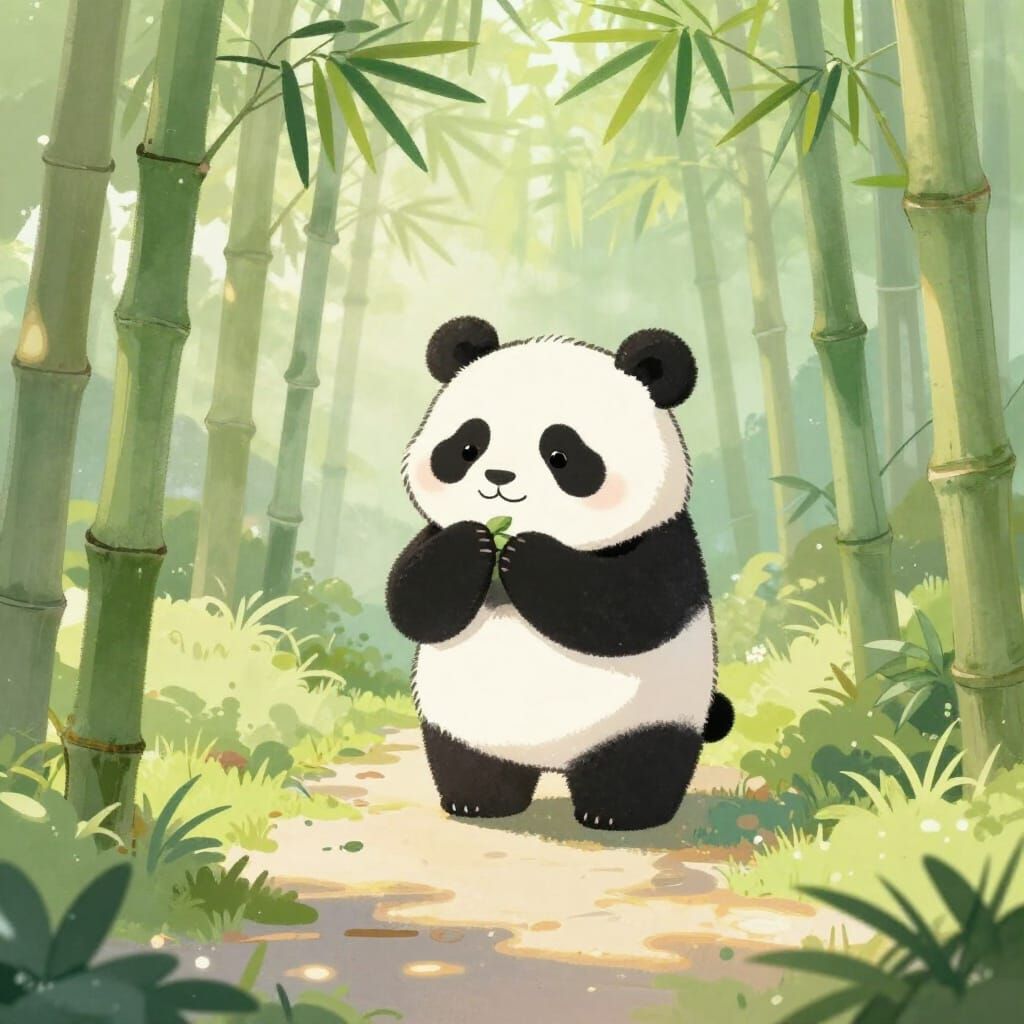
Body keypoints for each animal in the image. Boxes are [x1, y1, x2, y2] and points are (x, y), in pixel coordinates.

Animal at [386, 316, 733, 831]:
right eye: (469, 446)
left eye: (561, 456)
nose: (499, 478)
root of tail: (551, 761)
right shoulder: (433, 533)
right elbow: (413, 602)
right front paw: (475, 543)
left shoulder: (666, 539)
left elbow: (632, 609)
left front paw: (526, 555)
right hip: (459, 719)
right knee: (465, 758)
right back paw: (477, 801)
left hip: (651, 715)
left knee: (643, 760)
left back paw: (617, 813)